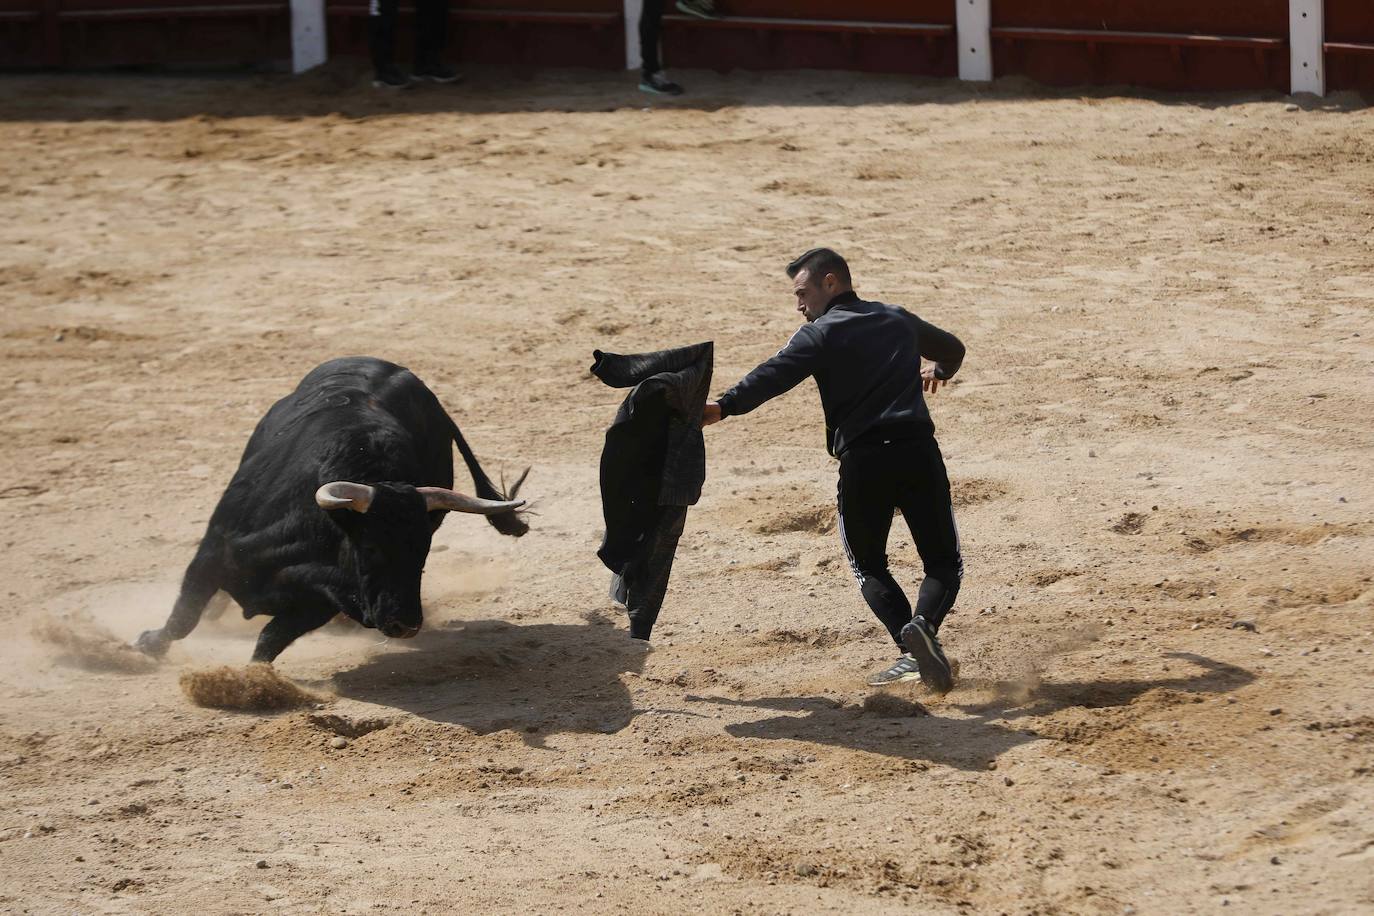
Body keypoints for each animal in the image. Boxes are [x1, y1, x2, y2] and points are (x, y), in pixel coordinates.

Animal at [135, 354, 524, 661]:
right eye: (371, 547)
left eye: (423, 552)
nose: (405, 624)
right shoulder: (214, 551)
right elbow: (182, 618)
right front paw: (146, 644)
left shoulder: (322, 601)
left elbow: (268, 642)